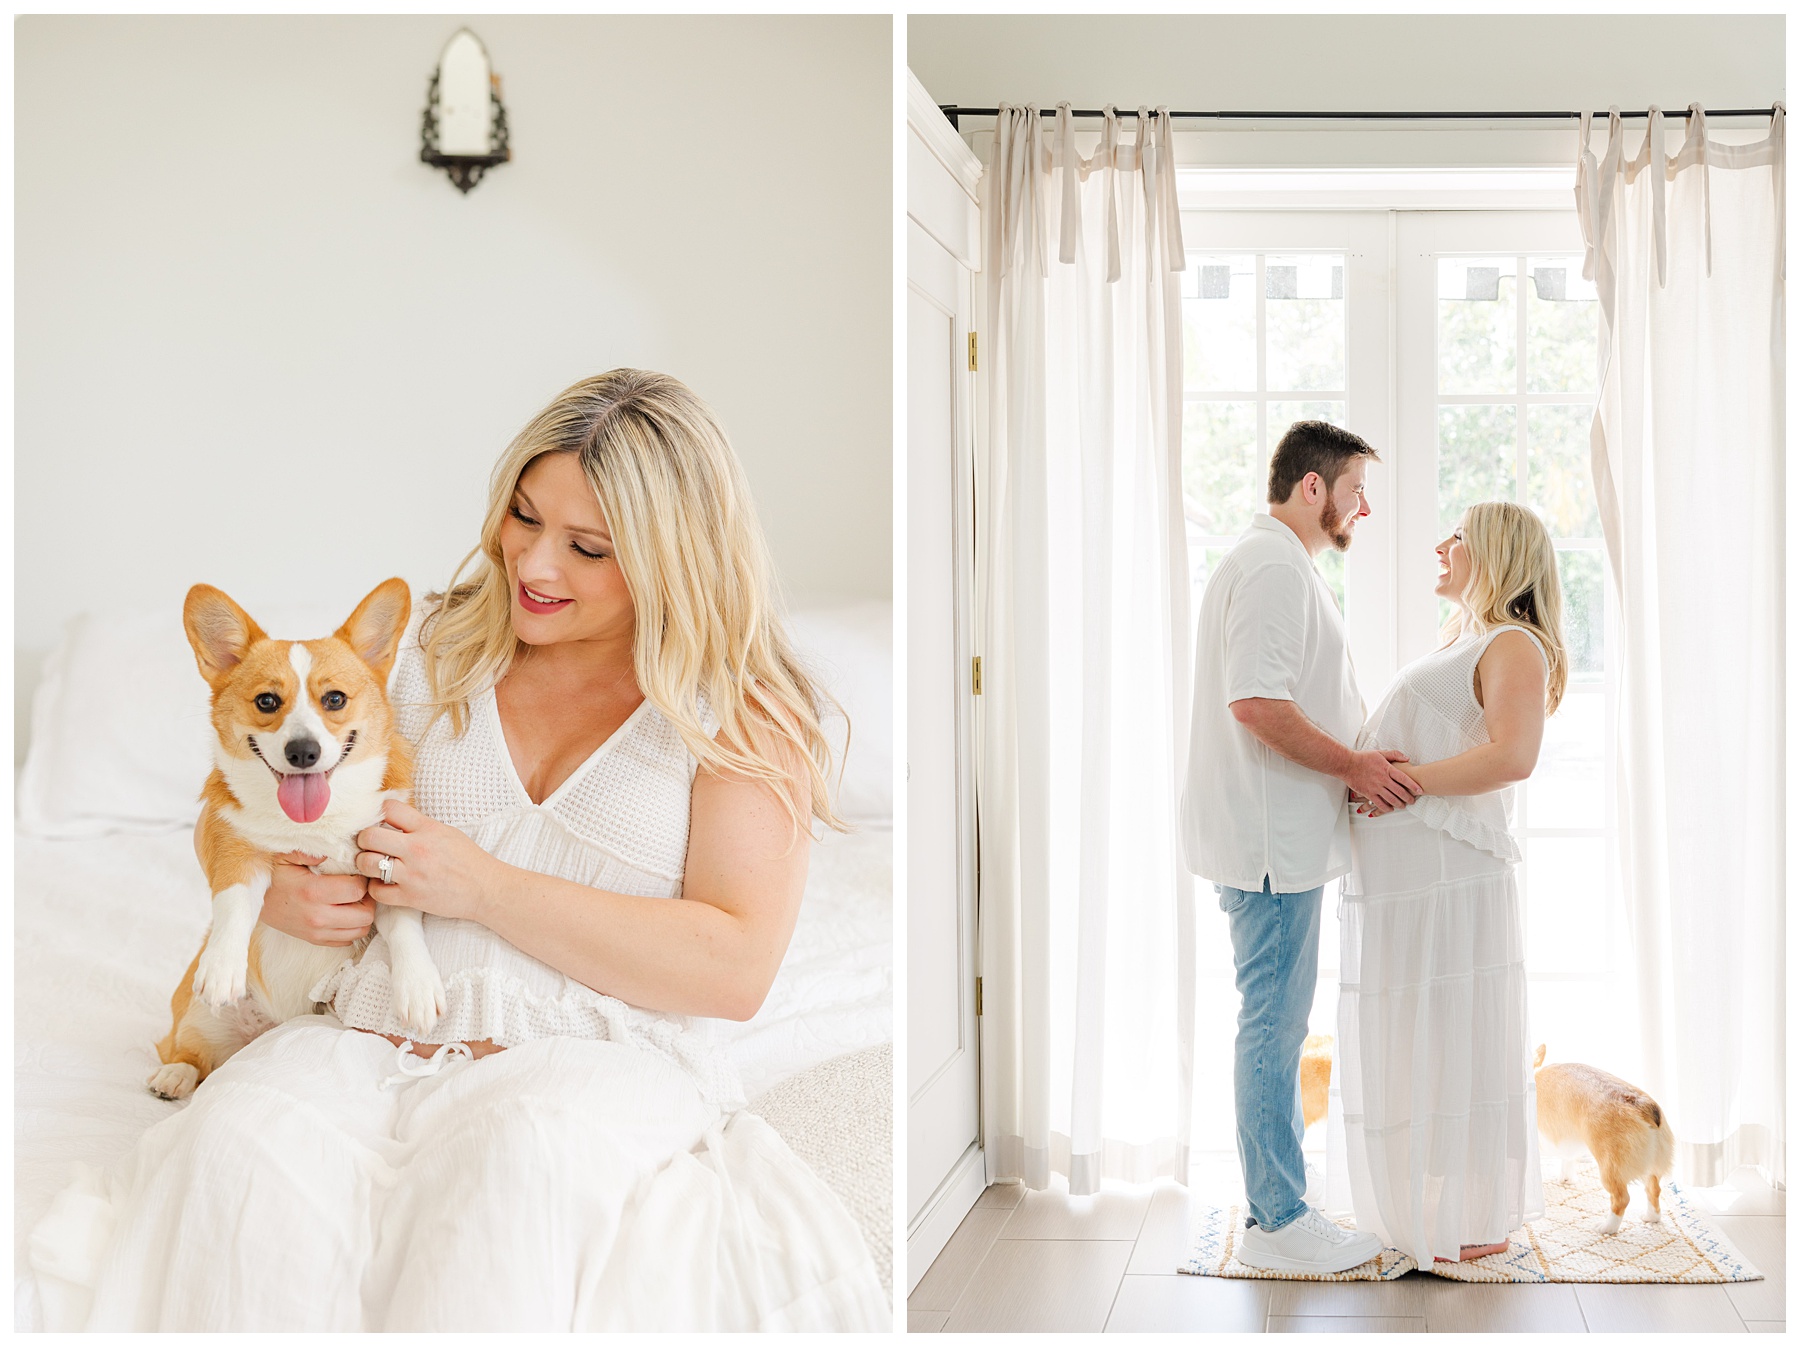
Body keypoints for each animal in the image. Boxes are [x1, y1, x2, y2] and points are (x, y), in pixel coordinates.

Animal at [154, 583, 450, 1102]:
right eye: (267, 702)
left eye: (334, 699)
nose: (303, 752)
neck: (315, 824)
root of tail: (272, 1026)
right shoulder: (233, 846)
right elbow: (234, 903)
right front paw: (223, 965)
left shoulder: (388, 857)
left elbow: (404, 926)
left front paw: (417, 986)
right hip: (198, 1017)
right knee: (187, 1050)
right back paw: (174, 1076)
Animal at [1533, 1044, 1670, 1238]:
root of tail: (1642, 1105)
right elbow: (1568, 1160)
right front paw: (1566, 1178)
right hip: (1650, 1165)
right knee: (1653, 1190)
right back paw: (1651, 1217)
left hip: (1609, 1168)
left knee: (1621, 1199)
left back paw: (1607, 1228)